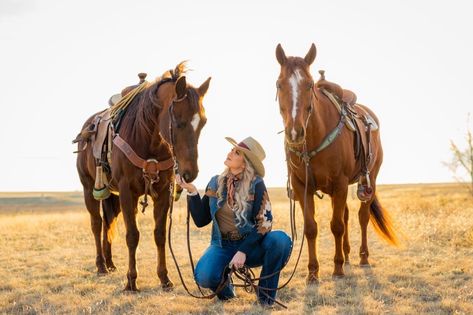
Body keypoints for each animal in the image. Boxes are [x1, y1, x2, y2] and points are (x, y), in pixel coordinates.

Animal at [74, 63, 209, 292]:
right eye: (178, 122)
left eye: (203, 123)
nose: (190, 172)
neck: (147, 138)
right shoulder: (127, 192)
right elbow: (132, 235)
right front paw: (131, 281)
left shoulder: (163, 192)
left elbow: (160, 235)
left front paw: (164, 278)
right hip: (89, 188)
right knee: (97, 224)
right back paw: (101, 265)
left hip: (113, 196)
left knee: (109, 222)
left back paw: (110, 263)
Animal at [274, 43, 396, 282]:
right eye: (279, 84)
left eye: (309, 84)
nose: (294, 133)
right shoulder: (302, 187)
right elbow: (311, 227)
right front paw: (313, 272)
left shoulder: (339, 184)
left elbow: (336, 225)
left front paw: (337, 269)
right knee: (347, 215)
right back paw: (347, 256)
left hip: (369, 180)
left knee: (361, 217)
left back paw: (362, 257)